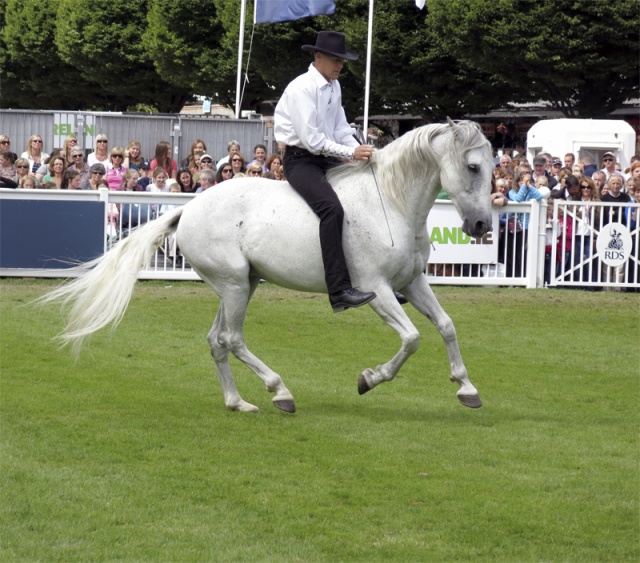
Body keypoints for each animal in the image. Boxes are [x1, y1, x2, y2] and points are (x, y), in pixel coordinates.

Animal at [40, 119, 494, 414]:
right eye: (472, 167)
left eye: (491, 167)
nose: (482, 226)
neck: (392, 202)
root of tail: (188, 210)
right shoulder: (377, 290)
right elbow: (412, 338)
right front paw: (370, 378)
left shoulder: (412, 282)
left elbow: (446, 326)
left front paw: (466, 387)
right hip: (236, 287)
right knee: (232, 339)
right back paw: (280, 392)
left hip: (239, 286)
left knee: (216, 340)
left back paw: (237, 402)